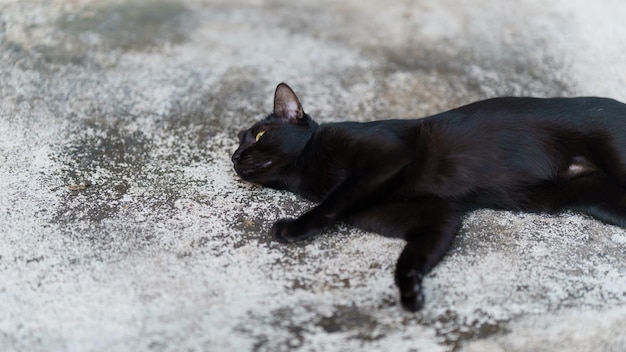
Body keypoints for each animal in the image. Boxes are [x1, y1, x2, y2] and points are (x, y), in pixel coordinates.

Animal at [230, 84, 624, 312]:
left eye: (260, 135)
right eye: (237, 141)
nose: (234, 156)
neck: (312, 176)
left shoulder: (386, 159)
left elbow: (335, 201)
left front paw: (295, 227)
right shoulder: (438, 215)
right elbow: (411, 259)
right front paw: (411, 293)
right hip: (598, 197)